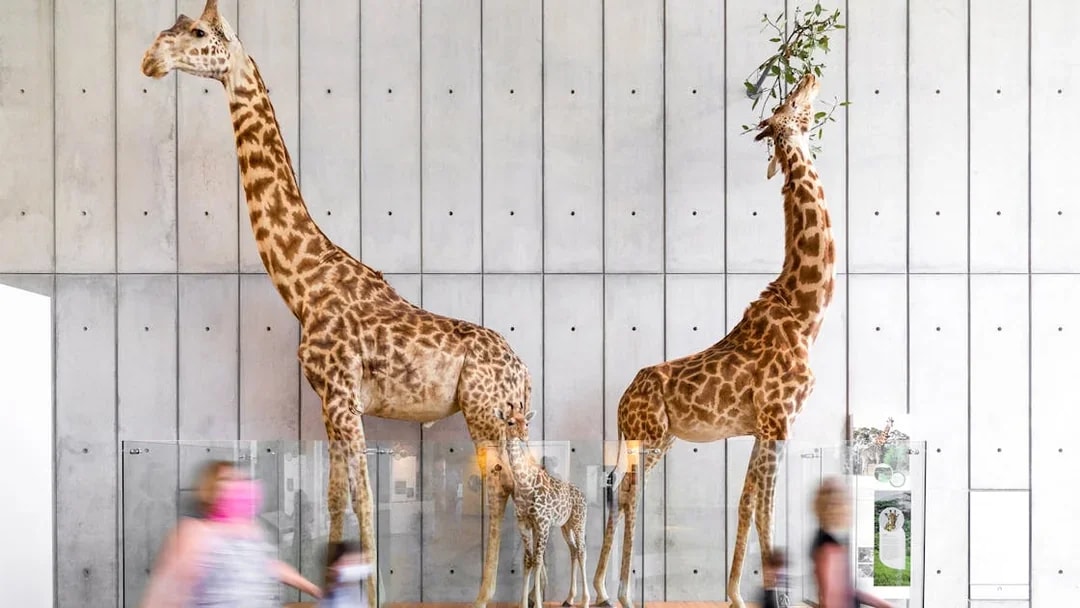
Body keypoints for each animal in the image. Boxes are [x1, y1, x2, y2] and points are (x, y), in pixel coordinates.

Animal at [141, 3, 530, 606]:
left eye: (199, 32)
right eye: (173, 27)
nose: (150, 58)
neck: (304, 285)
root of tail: (522, 369)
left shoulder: (345, 397)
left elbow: (365, 499)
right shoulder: (328, 403)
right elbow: (333, 499)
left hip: (482, 410)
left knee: (504, 486)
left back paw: (496, 595)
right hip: (508, 417)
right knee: (524, 485)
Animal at [494, 407, 589, 608]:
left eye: (527, 422)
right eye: (510, 422)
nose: (524, 435)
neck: (525, 484)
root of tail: (582, 495)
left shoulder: (543, 524)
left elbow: (538, 561)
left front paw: (537, 603)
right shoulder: (525, 524)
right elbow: (527, 560)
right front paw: (523, 603)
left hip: (579, 522)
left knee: (582, 551)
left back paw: (585, 600)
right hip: (565, 526)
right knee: (573, 550)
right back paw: (569, 598)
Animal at [591, 73, 835, 608]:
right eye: (789, 104)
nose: (811, 77)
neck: (807, 310)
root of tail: (621, 402)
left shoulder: (762, 425)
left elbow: (745, 500)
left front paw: (738, 595)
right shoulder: (779, 418)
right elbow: (766, 506)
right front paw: (776, 597)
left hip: (659, 438)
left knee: (621, 487)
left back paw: (601, 589)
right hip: (651, 436)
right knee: (627, 490)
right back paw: (615, 591)